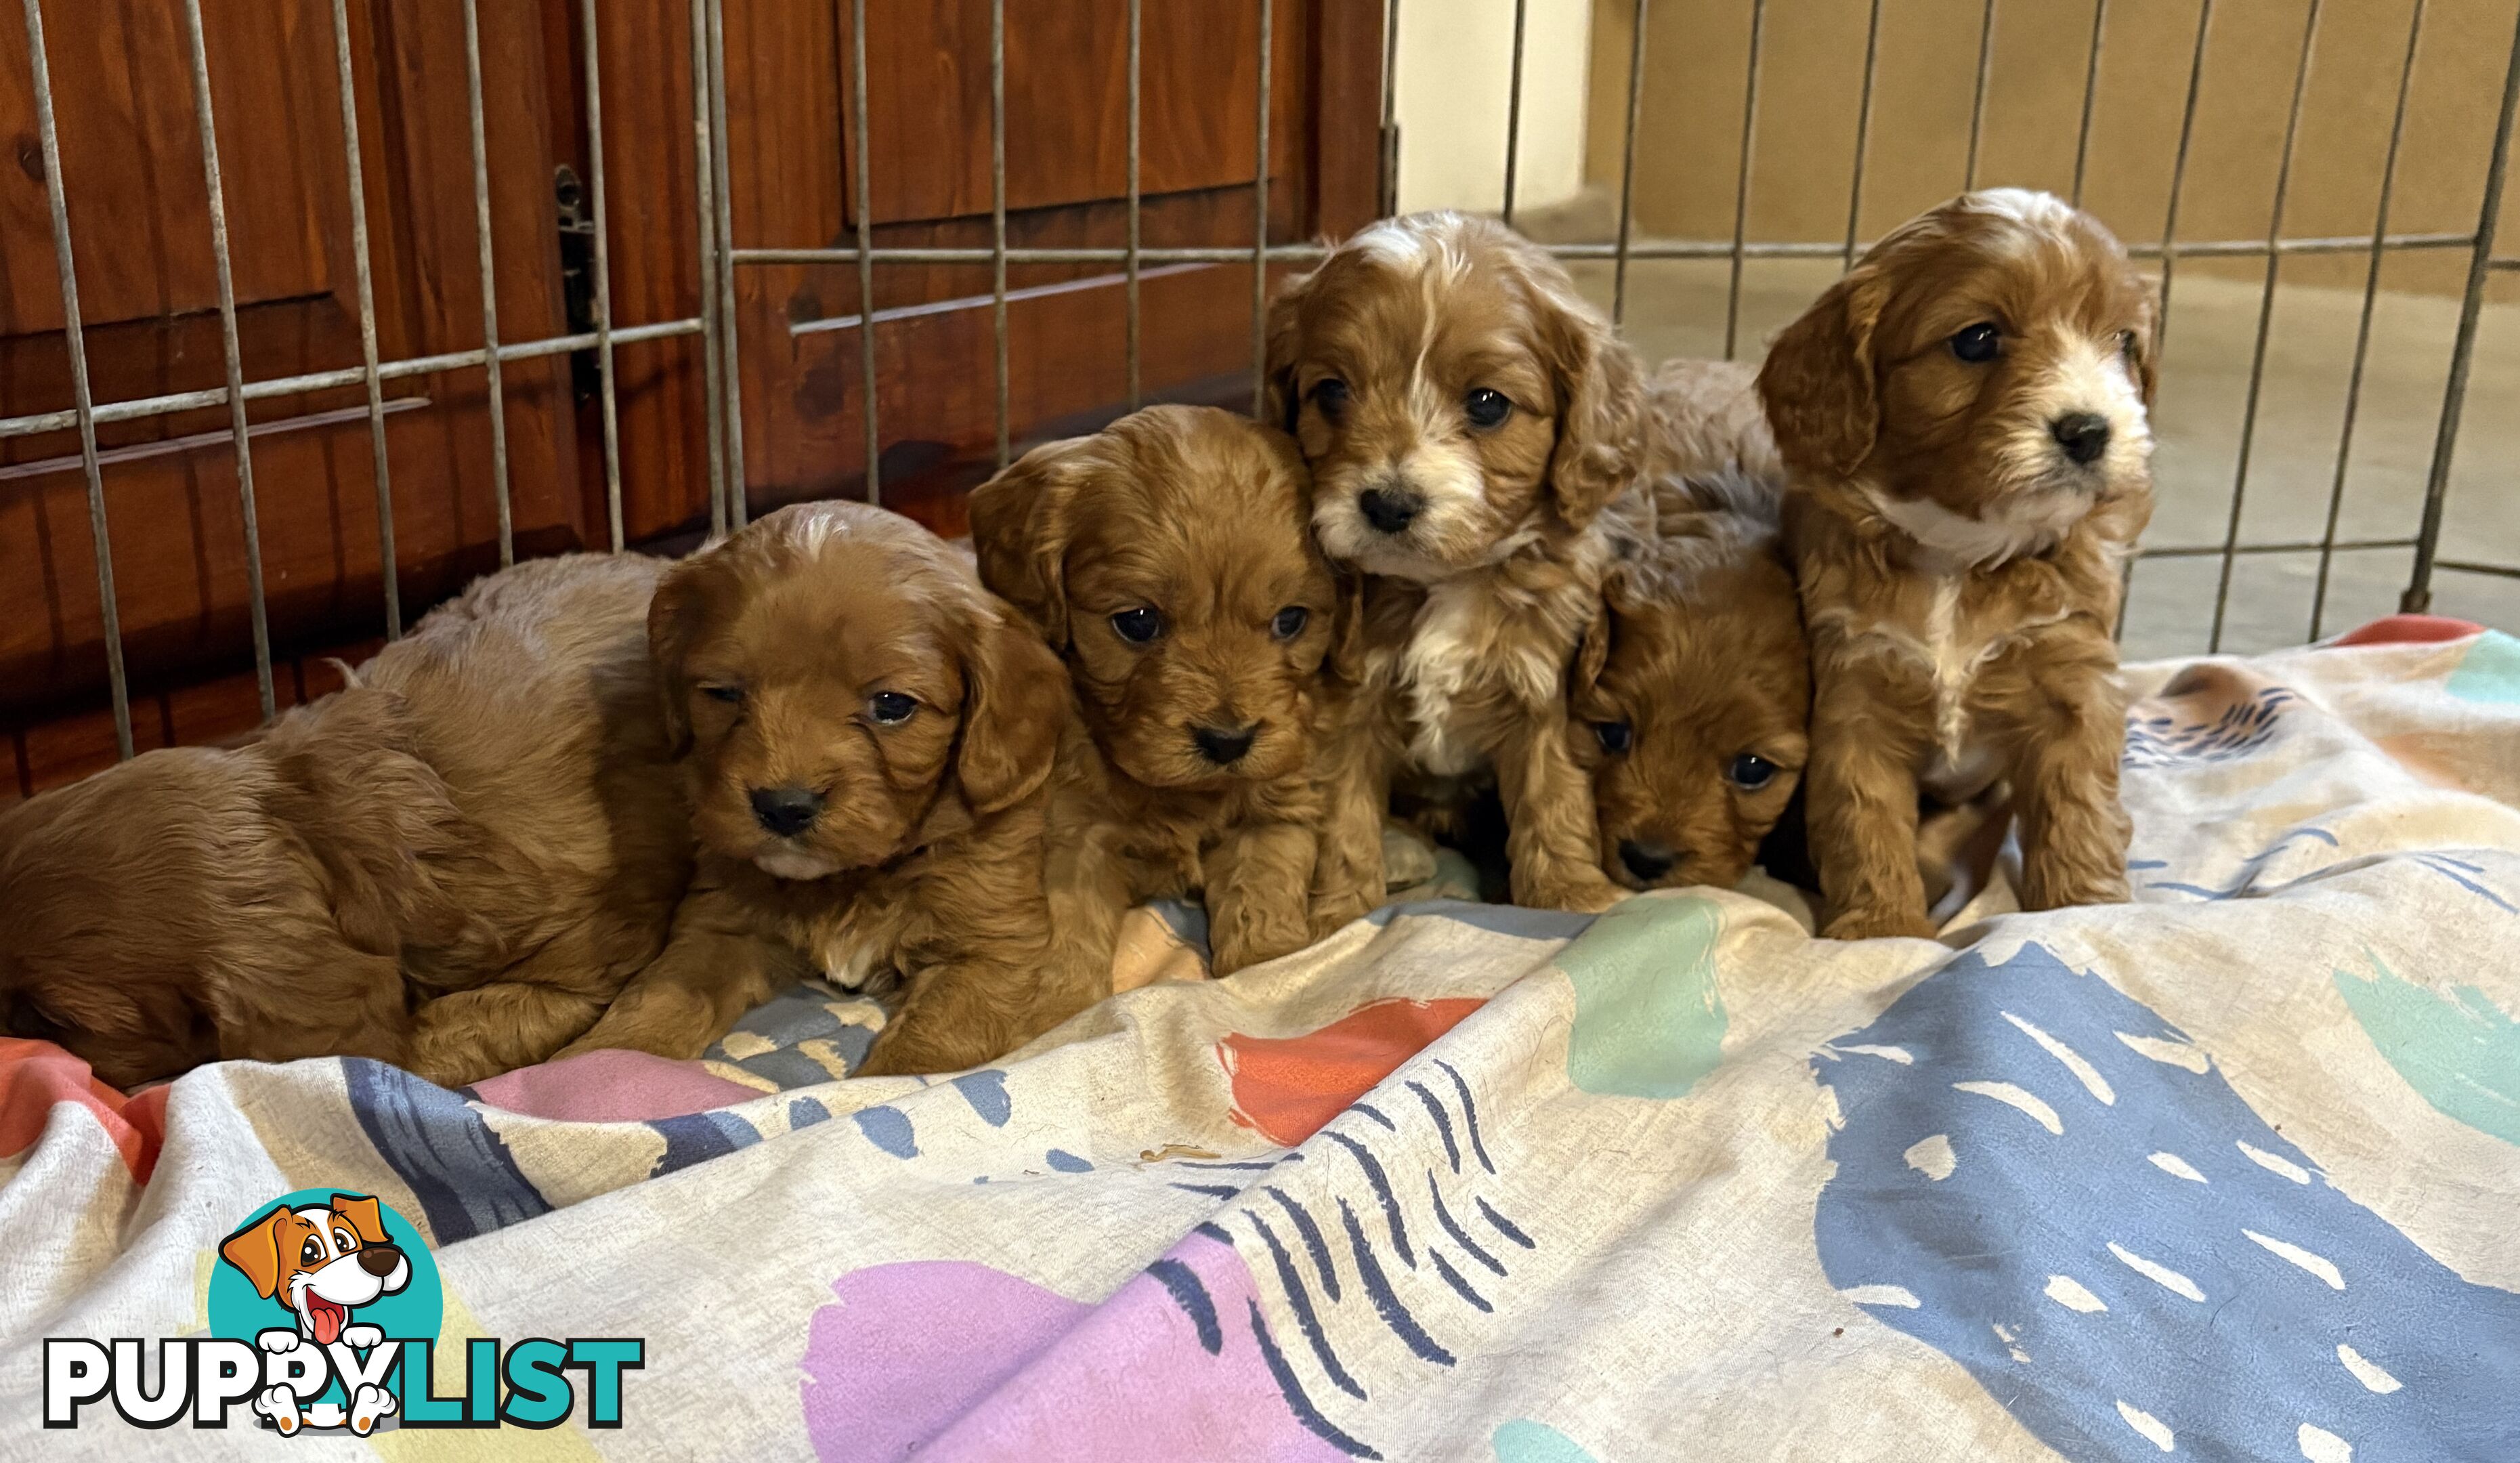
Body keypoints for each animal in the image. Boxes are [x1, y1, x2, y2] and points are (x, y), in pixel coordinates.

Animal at [561, 502, 1084, 1074]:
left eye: (892, 705)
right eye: (723, 692)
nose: (784, 808)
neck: (851, 881)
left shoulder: (988, 946)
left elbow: (922, 1057)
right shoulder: (719, 923)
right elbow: (661, 996)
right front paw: (592, 1066)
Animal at [967, 401, 1371, 978]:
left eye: (1290, 620)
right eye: (1137, 622)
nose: (1228, 742)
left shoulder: (1275, 808)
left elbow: (1262, 892)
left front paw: (1266, 964)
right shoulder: (1072, 836)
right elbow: (1065, 937)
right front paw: (1055, 996)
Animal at [1270, 210, 1663, 908]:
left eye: (1487, 404)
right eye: (1332, 393)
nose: (1388, 504)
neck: (1445, 582)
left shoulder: (1546, 687)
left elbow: (1553, 799)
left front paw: (1569, 899)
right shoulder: (1349, 701)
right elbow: (1343, 816)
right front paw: (1339, 910)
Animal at [1764, 189, 2157, 938]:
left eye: (2122, 342)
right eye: (1976, 340)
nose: (2090, 431)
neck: (1961, 554)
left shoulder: (2073, 681)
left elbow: (2078, 807)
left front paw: (2082, 909)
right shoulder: (1853, 695)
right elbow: (1862, 821)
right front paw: (1881, 929)